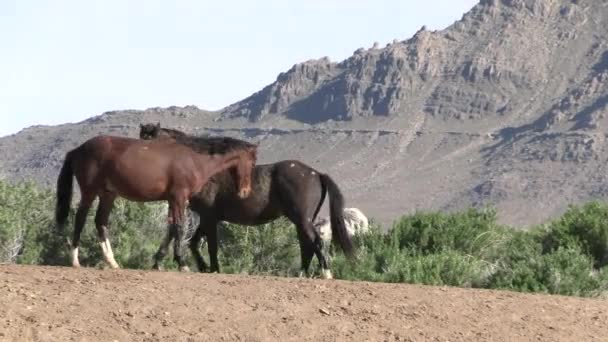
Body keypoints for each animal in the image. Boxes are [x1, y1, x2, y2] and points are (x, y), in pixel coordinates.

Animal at [52, 134, 258, 270]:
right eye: (253, 162)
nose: (245, 192)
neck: (194, 160)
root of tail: (77, 150)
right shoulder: (179, 198)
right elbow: (179, 228)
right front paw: (182, 263)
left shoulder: (173, 201)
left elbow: (171, 229)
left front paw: (159, 261)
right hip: (90, 192)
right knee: (80, 219)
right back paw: (75, 260)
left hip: (108, 195)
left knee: (100, 222)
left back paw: (112, 262)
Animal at [140, 122, 354, 278]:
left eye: (152, 144)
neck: (204, 170)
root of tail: (316, 174)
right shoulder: (207, 216)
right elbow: (193, 243)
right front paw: (202, 267)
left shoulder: (209, 216)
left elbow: (210, 245)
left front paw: (213, 268)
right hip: (302, 220)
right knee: (306, 245)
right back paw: (302, 274)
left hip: (302, 219)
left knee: (315, 242)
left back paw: (326, 273)